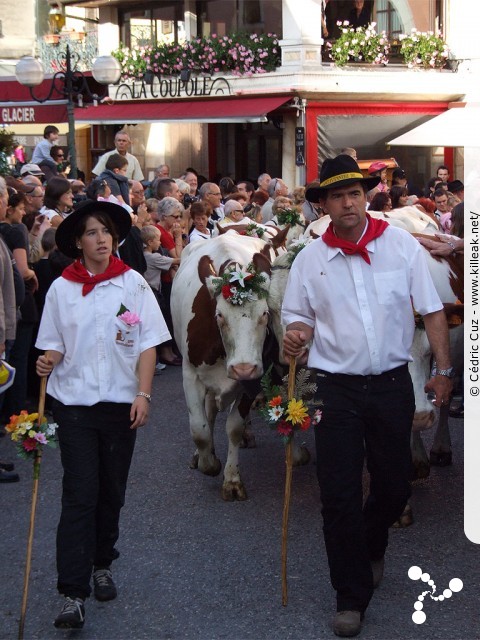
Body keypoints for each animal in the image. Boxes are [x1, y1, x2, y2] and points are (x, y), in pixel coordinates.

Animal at [171, 232, 272, 502]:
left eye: (265, 313)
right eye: (219, 315)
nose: (243, 368)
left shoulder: (253, 381)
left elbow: (234, 427)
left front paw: (232, 480)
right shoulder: (190, 374)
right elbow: (199, 429)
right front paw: (209, 463)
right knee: (208, 414)